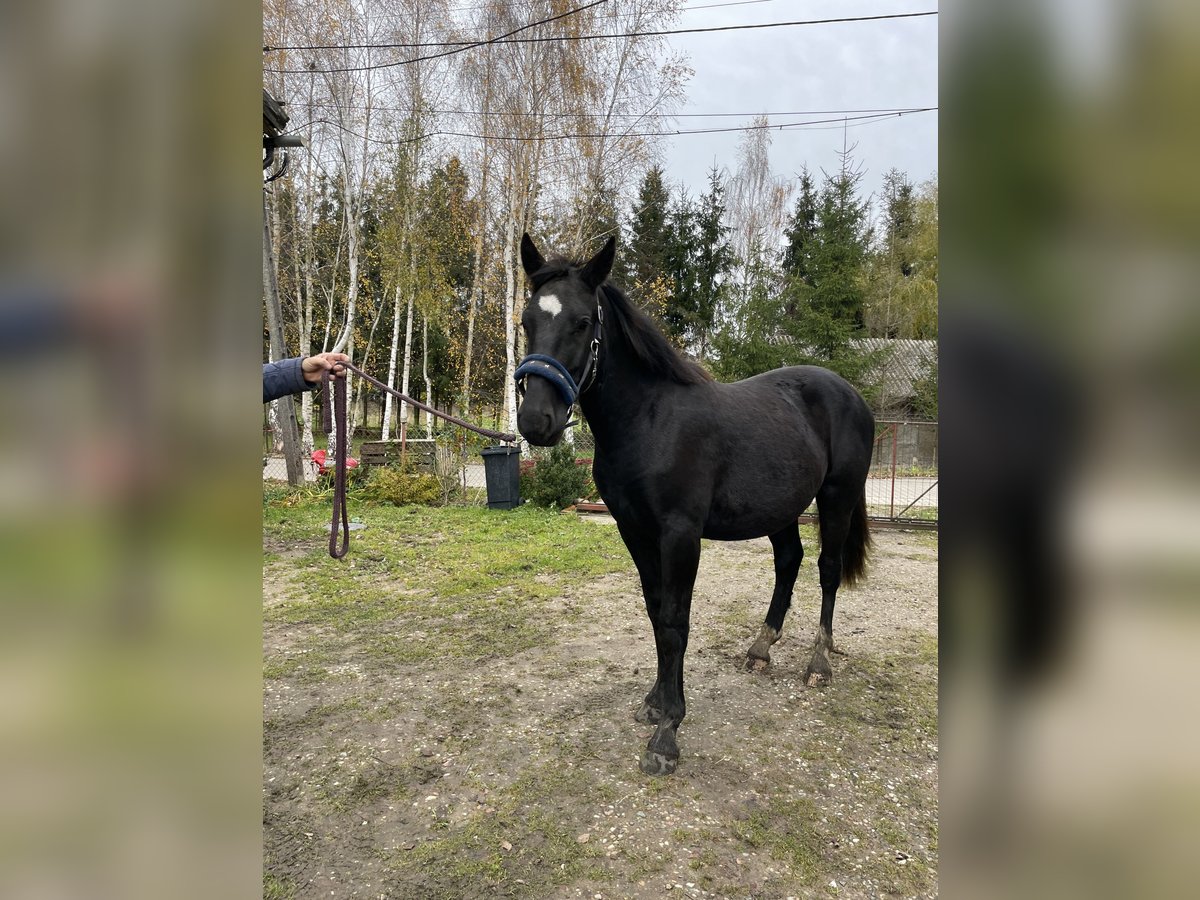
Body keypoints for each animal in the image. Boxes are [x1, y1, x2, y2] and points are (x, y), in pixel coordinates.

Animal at [514, 233, 875, 776]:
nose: (536, 421)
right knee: (788, 563)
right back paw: (761, 649)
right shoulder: (634, 531)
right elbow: (655, 612)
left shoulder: (680, 534)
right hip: (781, 509)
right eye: (526, 321)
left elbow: (675, 622)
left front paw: (668, 733)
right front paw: (655, 702)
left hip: (837, 499)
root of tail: (851, 394)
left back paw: (819, 662)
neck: (648, 419)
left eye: (582, 322)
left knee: (827, 571)